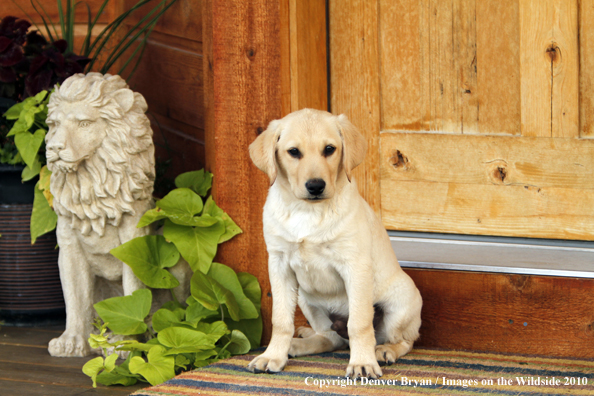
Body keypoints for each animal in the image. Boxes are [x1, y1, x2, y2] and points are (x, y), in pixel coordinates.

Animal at [245, 110, 420, 378]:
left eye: (329, 149)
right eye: (293, 152)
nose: (315, 186)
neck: (307, 211)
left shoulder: (355, 266)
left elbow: (359, 323)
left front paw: (362, 363)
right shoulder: (279, 265)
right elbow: (281, 320)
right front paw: (272, 355)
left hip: (401, 304)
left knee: (402, 340)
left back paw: (384, 351)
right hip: (306, 300)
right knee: (330, 337)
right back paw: (300, 343)